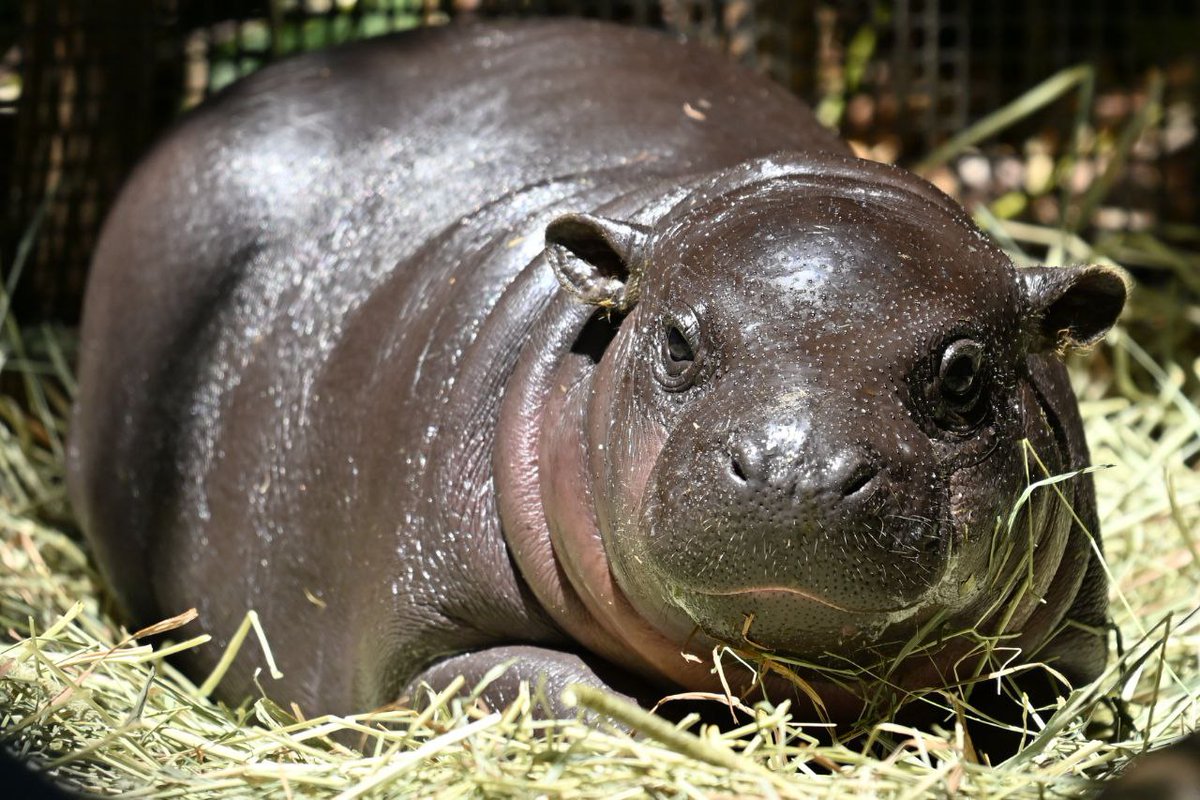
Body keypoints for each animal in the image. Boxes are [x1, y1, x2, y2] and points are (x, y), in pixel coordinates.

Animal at [68, 19, 1126, 726]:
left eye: (963, 373)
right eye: (678, 342)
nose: (795, 470)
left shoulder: (1069, 652)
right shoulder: (426, 641)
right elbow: (553, 687)